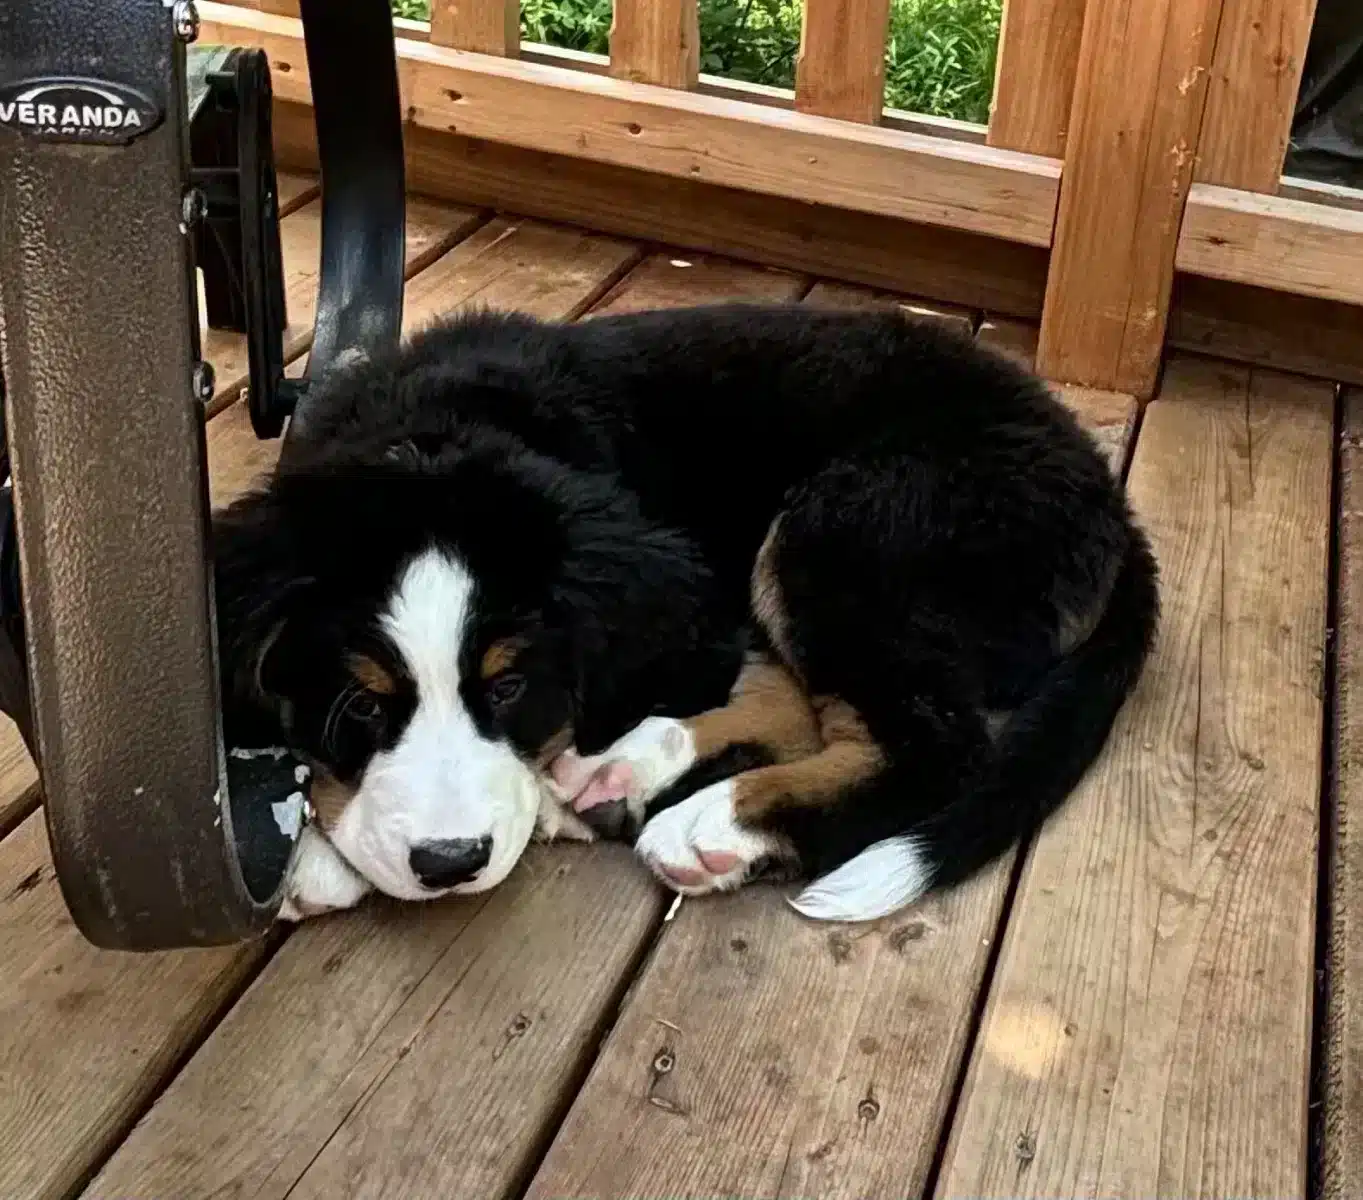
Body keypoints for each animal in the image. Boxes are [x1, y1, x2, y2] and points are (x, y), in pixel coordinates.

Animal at [212, 304, 1161, 921]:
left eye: (512, 687)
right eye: (360, 705)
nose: (449, 865)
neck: (432, 437)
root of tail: (1110, 503)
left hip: (844, 532)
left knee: (932, 748)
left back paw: (718, 824)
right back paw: (620, 774)